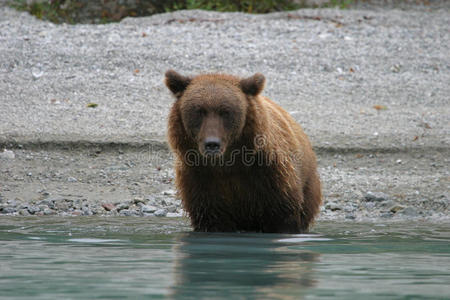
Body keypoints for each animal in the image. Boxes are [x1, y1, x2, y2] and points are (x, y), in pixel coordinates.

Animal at [164, 70, 320, 234]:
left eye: (225, 112)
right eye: (199, 111)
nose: (212, 144)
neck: (228, 163)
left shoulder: (271, 175)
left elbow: (283, 216)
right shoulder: (200, 181)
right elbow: (211, 217)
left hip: (309, 186)